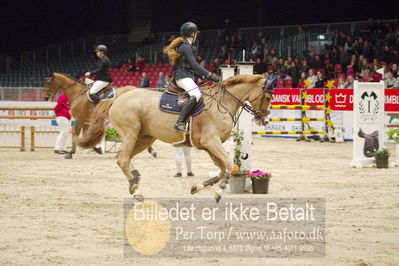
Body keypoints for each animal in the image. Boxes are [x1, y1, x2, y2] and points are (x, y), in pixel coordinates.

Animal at [75, 74, 276, 203]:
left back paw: (135, 181)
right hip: (131, 134)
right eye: (267, 96)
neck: (222, 103)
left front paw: (197, 187)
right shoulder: (211, 141)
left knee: (122, 159)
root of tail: (116, 99)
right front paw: (219, 192)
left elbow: (220, 169)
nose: (264, 120)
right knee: (123, 159)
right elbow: (228, 163)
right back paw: (136, 190)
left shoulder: (209, 146)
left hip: (144, 138)